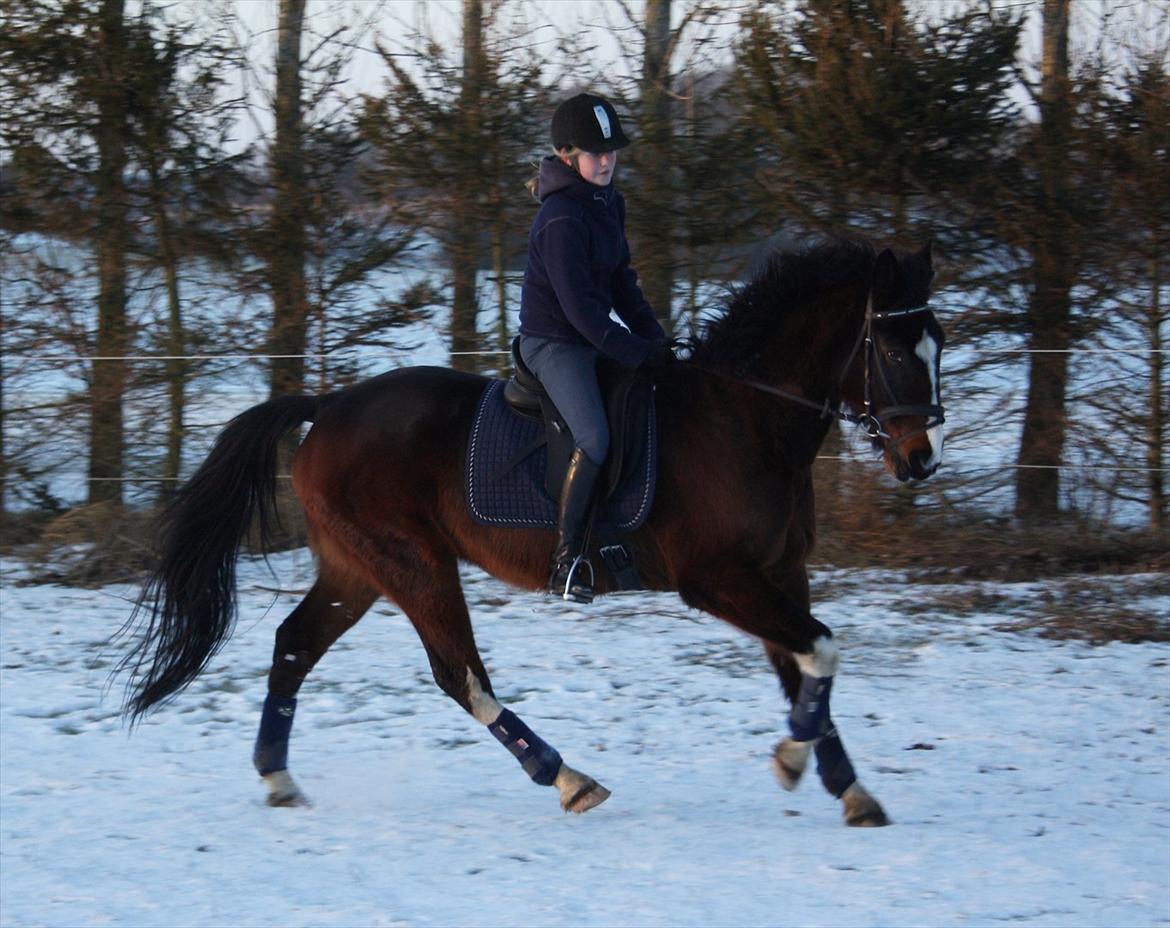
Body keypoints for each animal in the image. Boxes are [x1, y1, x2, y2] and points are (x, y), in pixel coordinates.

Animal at [116, 237, 940, 823]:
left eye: (937, 343)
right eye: (895, 349)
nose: (921, 460)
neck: (744, 419)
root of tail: (330, 406)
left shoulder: (776, 574)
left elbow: (808, 670)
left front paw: (846, 787)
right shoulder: (719, 580)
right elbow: (820, 652)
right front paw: (795, 763)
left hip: (357, 568)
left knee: (294, 646)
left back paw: (280, 780)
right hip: (413, 562)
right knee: (460, 675)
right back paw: (567, 777)